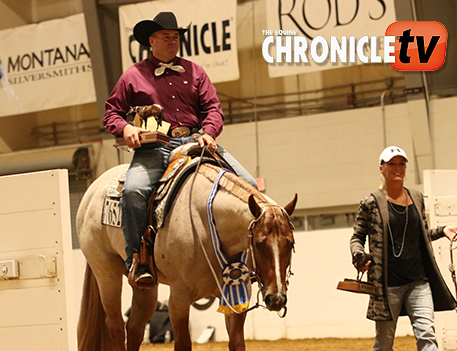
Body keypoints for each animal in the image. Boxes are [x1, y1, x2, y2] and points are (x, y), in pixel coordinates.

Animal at [76, 157, 298, 351]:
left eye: (290, 243)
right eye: (258, 244)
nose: (276, 299)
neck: (206, 222)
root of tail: (92, 189)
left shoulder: (236, 296)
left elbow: (237, 344)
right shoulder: (179, 300)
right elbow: (182, 345)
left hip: (145, 287)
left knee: (134, 328)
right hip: (106, 273)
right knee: (115, 326)